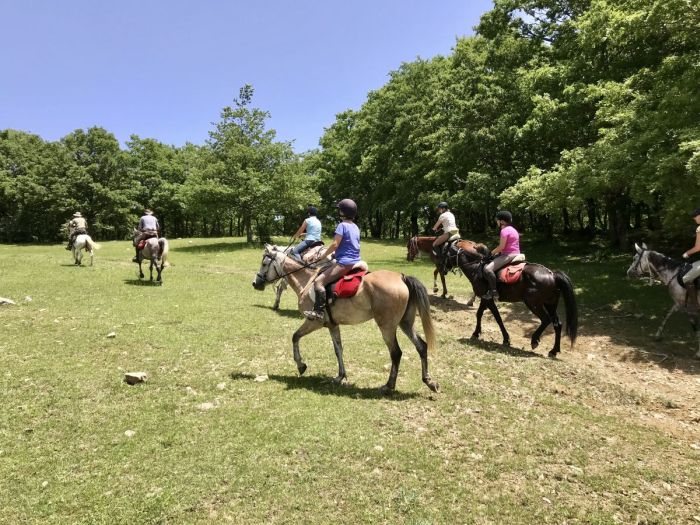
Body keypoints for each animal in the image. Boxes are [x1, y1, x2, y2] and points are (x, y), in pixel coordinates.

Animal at [252, 246, 438, 392]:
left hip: (387, 327)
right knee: (421, 346)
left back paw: (389, 386)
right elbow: (338, 349)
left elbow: (295, 337)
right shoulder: (332, 325)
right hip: (405, 323)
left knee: (396, 353)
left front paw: (301, 365)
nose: (255, 283)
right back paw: (429, 381)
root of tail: (401, 277)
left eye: (264, 264)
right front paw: (340, 376)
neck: (307, 281)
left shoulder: (314, 322)